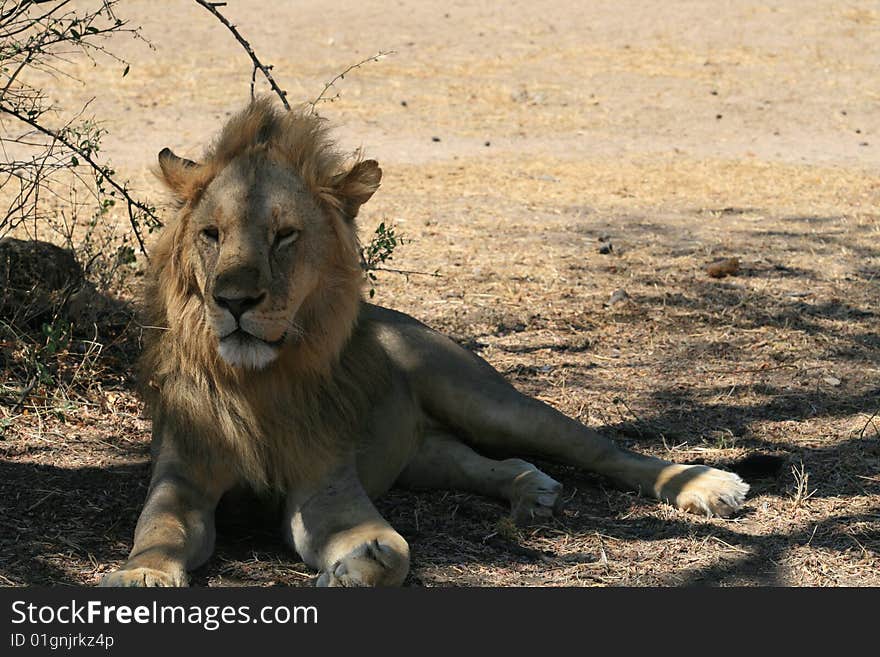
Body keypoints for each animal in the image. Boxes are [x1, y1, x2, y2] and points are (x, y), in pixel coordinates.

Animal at [103, 98, 748, 588]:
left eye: (285, 235)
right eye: (211, 234)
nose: (234, 301)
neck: (257, 382)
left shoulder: (325, 486)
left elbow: (393, 550)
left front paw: (357, 569)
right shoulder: (182, 477)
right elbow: (159, 529)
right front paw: (141, 576)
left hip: (488, 402)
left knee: (600, 449)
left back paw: (707, 486)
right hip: (423, 456)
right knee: (494, 463)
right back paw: (531, 491)